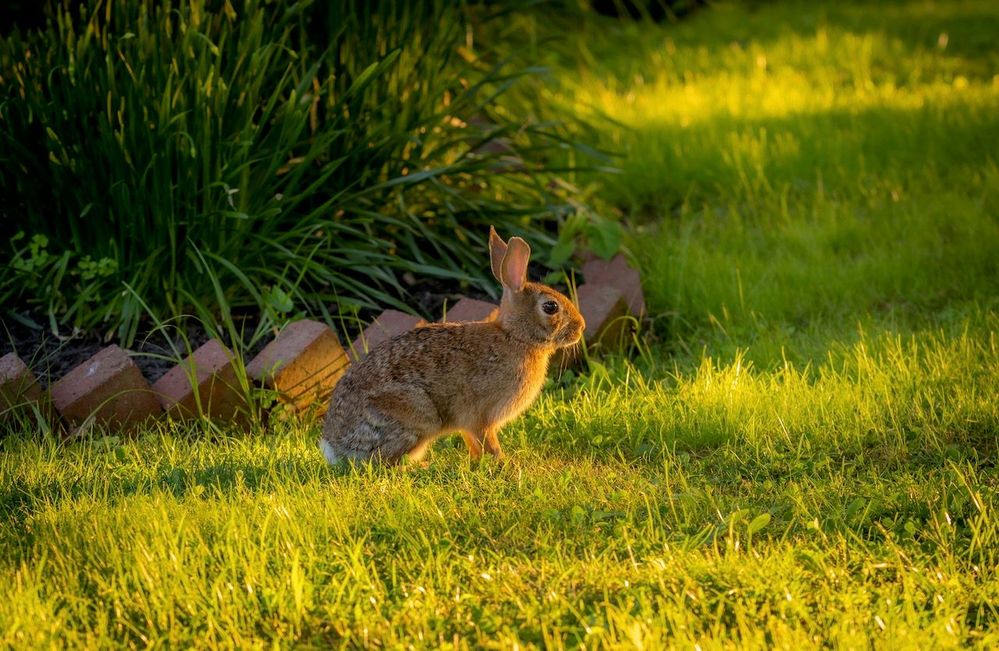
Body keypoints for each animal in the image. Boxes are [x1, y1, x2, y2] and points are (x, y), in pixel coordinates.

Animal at [320, 227, 584, 466]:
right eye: (550, 307)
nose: (580, 327)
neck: (515, 337)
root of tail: (334, 448)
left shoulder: (469, 425)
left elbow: (473, 443)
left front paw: (479, 462)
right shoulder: (482, 416)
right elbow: (488, 441)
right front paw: (503, 462)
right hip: (418, 415)